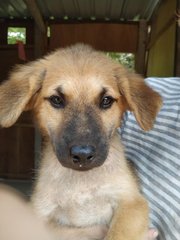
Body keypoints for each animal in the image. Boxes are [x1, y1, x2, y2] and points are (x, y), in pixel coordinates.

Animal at [0, 43, 162, 240]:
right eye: (56, 100)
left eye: (106, 100)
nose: (83, 155)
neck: (81, 182)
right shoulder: (38, 214)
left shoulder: (131, 201)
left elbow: (118, 234)